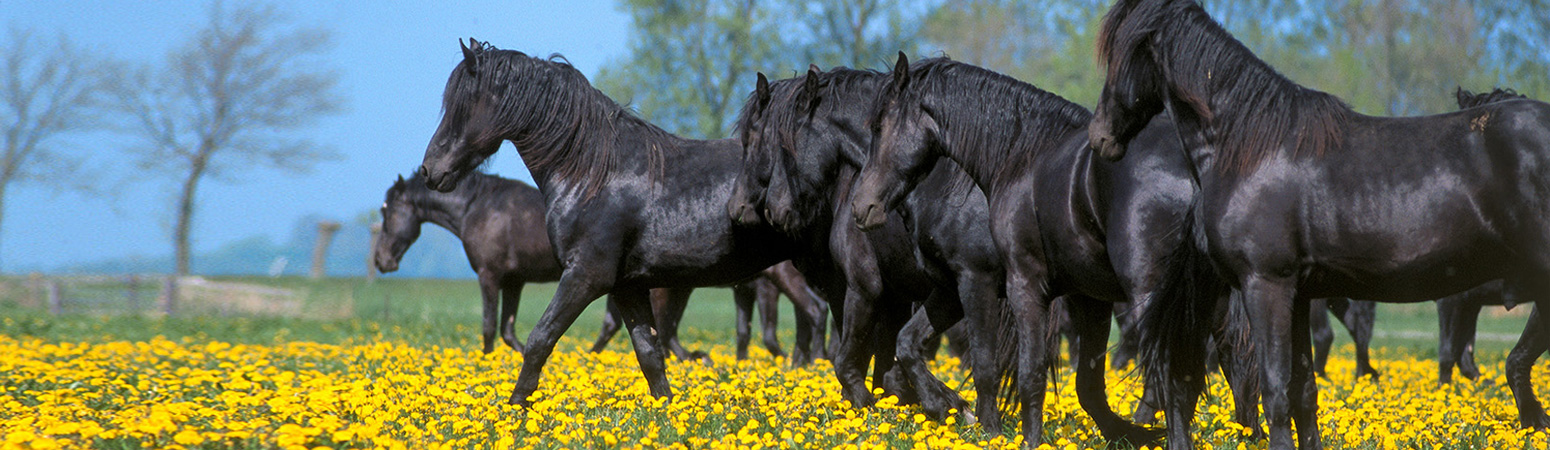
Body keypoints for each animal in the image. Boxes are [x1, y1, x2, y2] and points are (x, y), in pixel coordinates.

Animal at [415, 37, 793, 403]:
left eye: (463, 104)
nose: (430, 169)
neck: (593, 173)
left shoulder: (585, 276)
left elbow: (540, 340)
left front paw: (516, 408)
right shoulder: (627, 285)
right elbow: (649, 355)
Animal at [731, 66, 1022, 431]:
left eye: (764, 141)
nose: (768, 210)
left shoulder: (862, 288)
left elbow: (850, 360)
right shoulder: (895, 296)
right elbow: (889, 364)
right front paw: (932, 404)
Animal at [1085, 1, 1550, 446]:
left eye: (1119, 51)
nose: (1100, 136)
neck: (1252, 147)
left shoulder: (1265, 285)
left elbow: (1275, 389)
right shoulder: (1300, 295)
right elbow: (1303, 391)